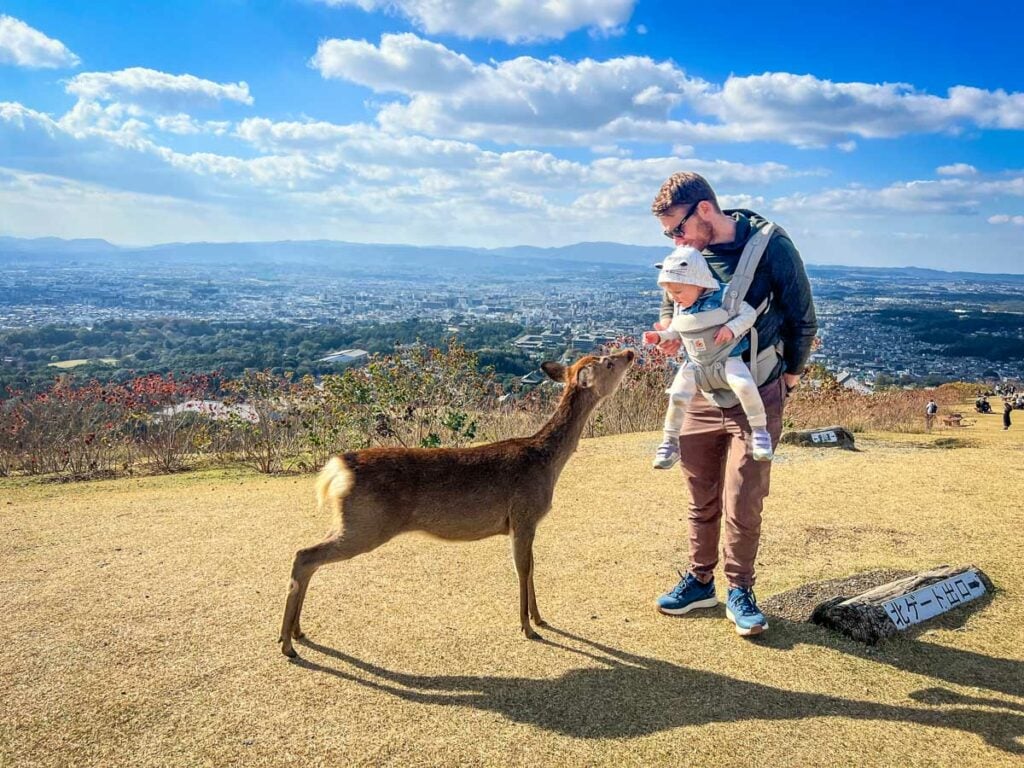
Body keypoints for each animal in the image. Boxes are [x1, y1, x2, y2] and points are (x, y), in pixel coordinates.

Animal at [280, 348, 630, 655]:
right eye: (608, 363)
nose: (630, 353)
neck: (546, 462)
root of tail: (339, 467)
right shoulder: (523, 513)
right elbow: (522, 567)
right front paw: (527, 628)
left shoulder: (527, 522)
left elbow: (532, 566)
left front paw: (540, 618)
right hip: (366, 524)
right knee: (304, 555)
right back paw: (286, 643)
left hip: (350, 521)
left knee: (308, 556)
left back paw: (297, 633)